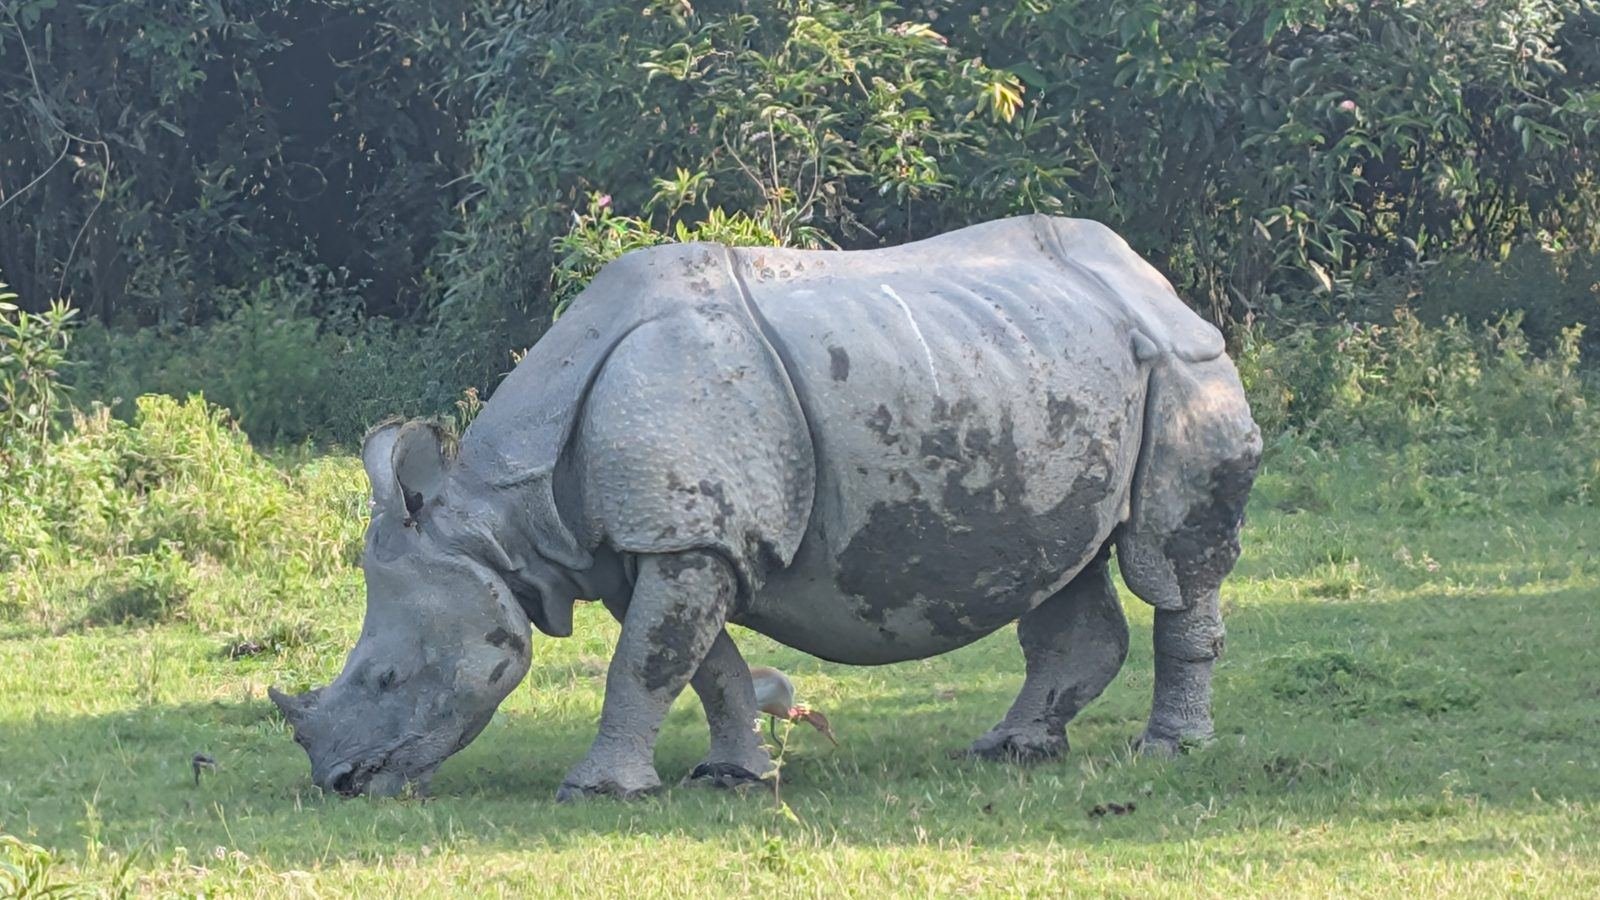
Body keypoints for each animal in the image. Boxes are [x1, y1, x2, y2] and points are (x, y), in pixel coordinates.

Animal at [271, 216, 1261, 799]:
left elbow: (644, 668)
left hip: (1187, 368)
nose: (339, 782)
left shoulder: (688, 540)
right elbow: (702, 667)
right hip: (1036, 365)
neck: (503, 520)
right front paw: (730, 776)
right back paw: (1011, 751)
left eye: (387, 678)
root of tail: (1151, 276)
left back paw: (1168, 753)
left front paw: (598, 792)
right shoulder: (662, 545)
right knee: (1063, 567)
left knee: (1169, 566)